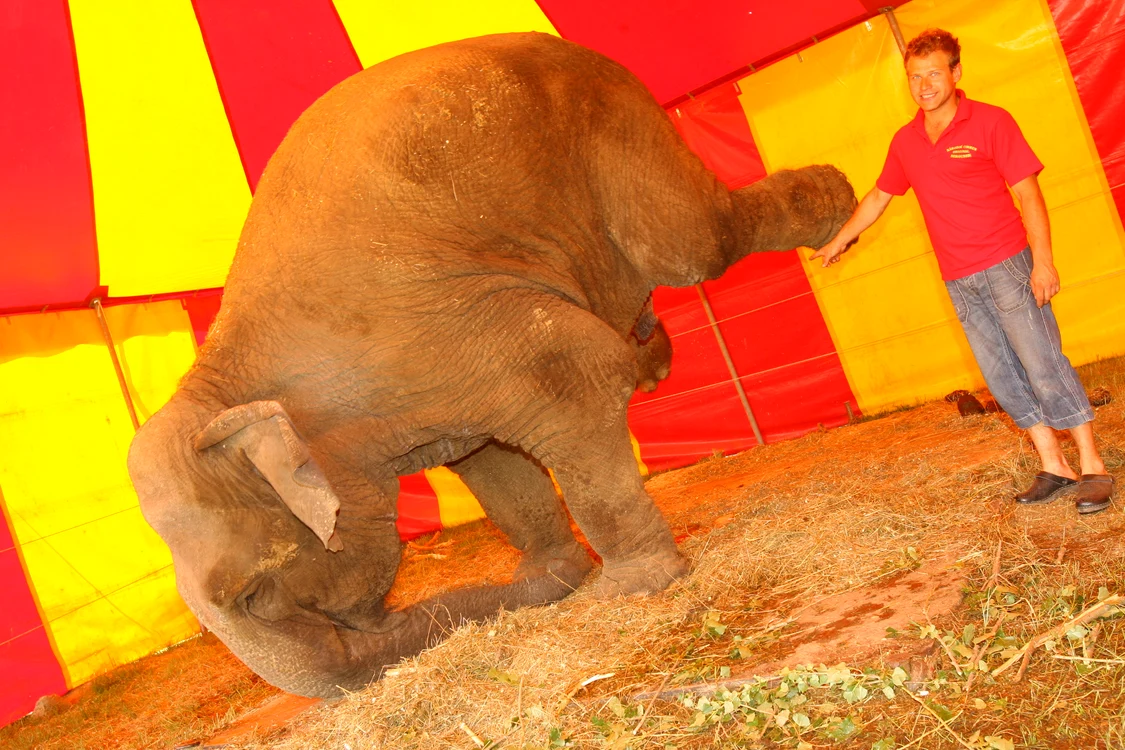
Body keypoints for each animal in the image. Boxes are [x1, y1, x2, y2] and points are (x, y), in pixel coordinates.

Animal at [127, 31, 856, 699]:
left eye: (250, 594)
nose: (381, 620)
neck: (221, 380)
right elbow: (490, 463)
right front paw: (549, 576)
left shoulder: (436, 331)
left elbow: (577, 371)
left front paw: (628, 590)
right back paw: (655, 352)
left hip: (613, 122)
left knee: (694, 244)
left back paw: (840, 205)